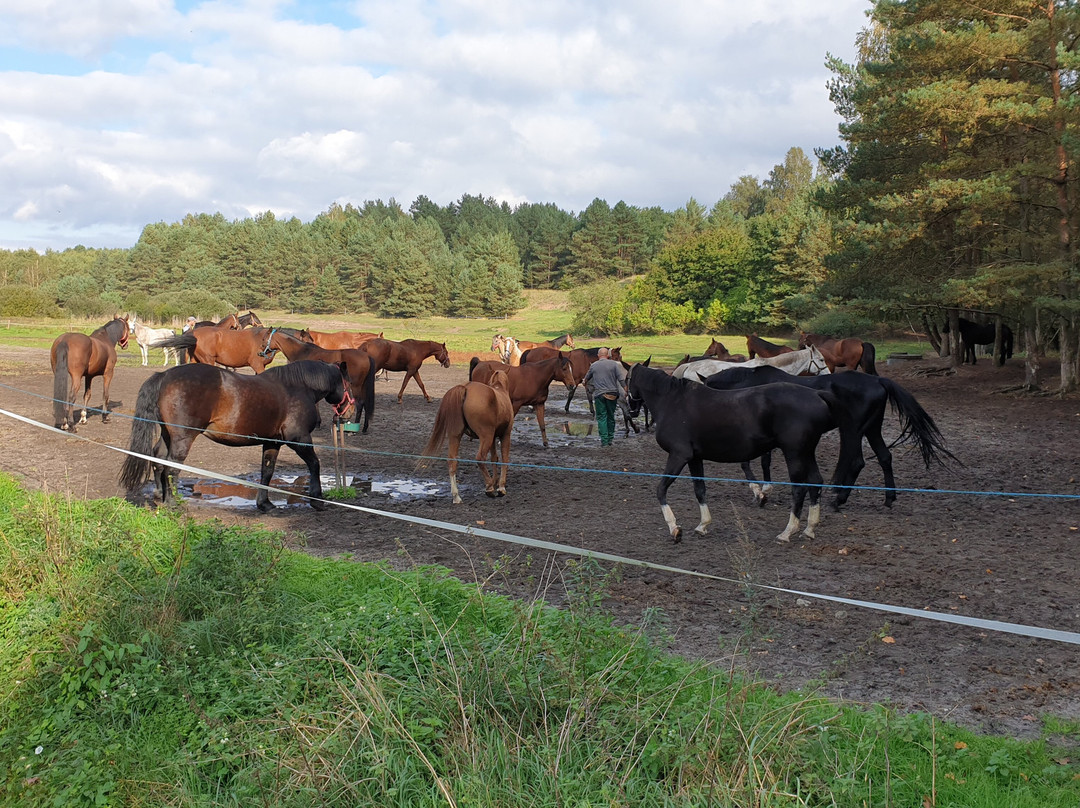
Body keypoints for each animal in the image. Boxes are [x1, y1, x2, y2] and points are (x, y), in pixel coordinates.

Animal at [118, 360, 356, 512]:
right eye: (349, 384)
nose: (351, 412)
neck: (297, 388)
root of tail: (165, 375)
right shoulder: (298, 439)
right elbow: (314, 464)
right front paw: (317, 500)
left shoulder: (272, 442)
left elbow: (267, 471)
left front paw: (264, 504)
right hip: (183, 438)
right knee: (171, 467)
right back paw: (172, 503)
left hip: (168, 435)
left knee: (158, 460)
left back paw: (160, 496)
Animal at [414, 369, 511, 501]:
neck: (499, 389)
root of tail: (465, 388)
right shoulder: (505, 435)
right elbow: (504, 459)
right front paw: (501, 487)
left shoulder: (493, 438)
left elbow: (494, 458)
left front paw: (496, 481)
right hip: (486, 436)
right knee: (480, 458)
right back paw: (489, 487)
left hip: (456, 436)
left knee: (452, 461)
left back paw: (456, 496)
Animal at [626, 365, 833, 542]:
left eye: (626, 380)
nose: (631, 411)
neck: (672, 401)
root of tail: (816, 394)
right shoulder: (694, 458)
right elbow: (699, 489)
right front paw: (703, 525)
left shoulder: (679, 456)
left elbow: (661, 489)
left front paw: (674, 528)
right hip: (806, 453)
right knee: (815, 482)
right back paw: (809, 529)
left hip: (794, 454)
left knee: (799, 488)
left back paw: (788, 531)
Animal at [704, 365, 959, 512]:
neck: (749, 385)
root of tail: (878, 380)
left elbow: (753, 463)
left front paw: (762, 492)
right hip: (871, 429)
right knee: (885, 457)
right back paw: (888, 498)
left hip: (854, 430)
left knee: (857, 461)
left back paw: (839, 499)